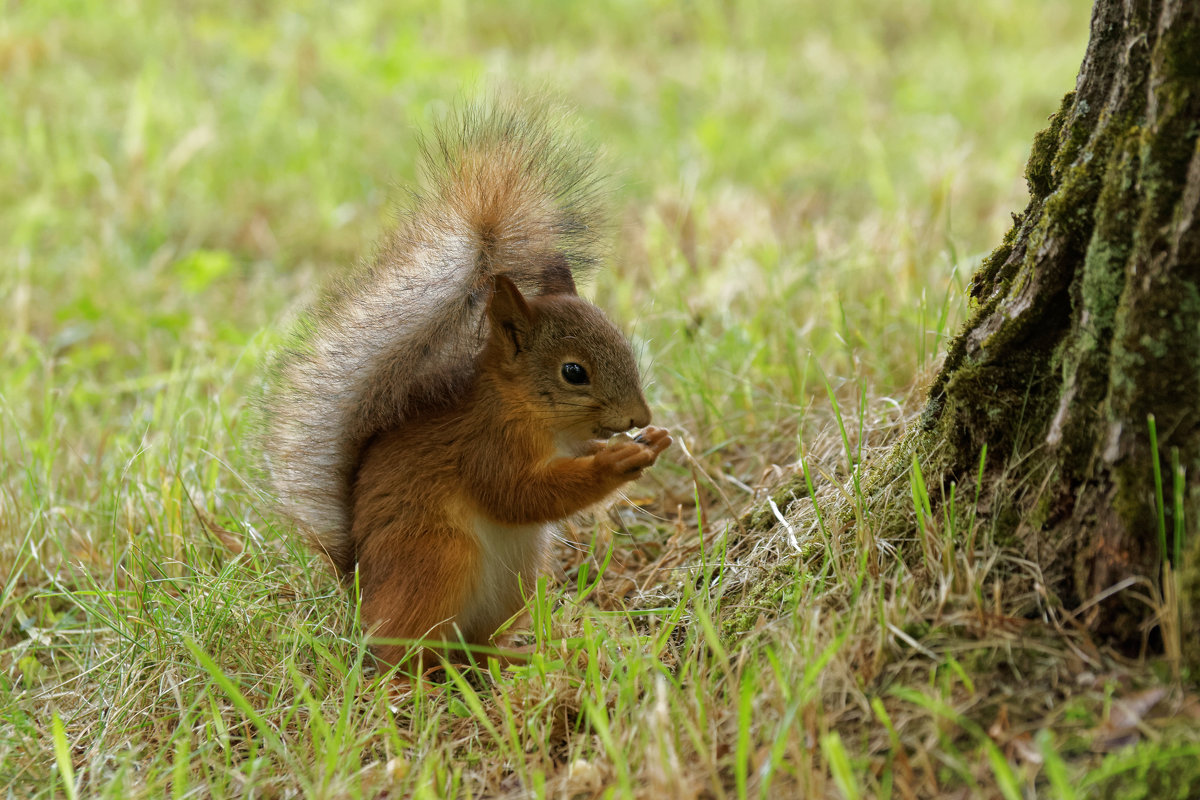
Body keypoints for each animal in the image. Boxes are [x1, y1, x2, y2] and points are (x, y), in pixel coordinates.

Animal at [262, 104, 672, 671]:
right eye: (573, 372)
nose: (640, 418)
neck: (528, 410)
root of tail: (361, 593)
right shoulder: (485, 444)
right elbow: (518, 495)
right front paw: (616, 464)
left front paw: (645, 446)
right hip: (438, 559)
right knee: (399, 654)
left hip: (515, 581)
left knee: (472, 648)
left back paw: (521, 657)